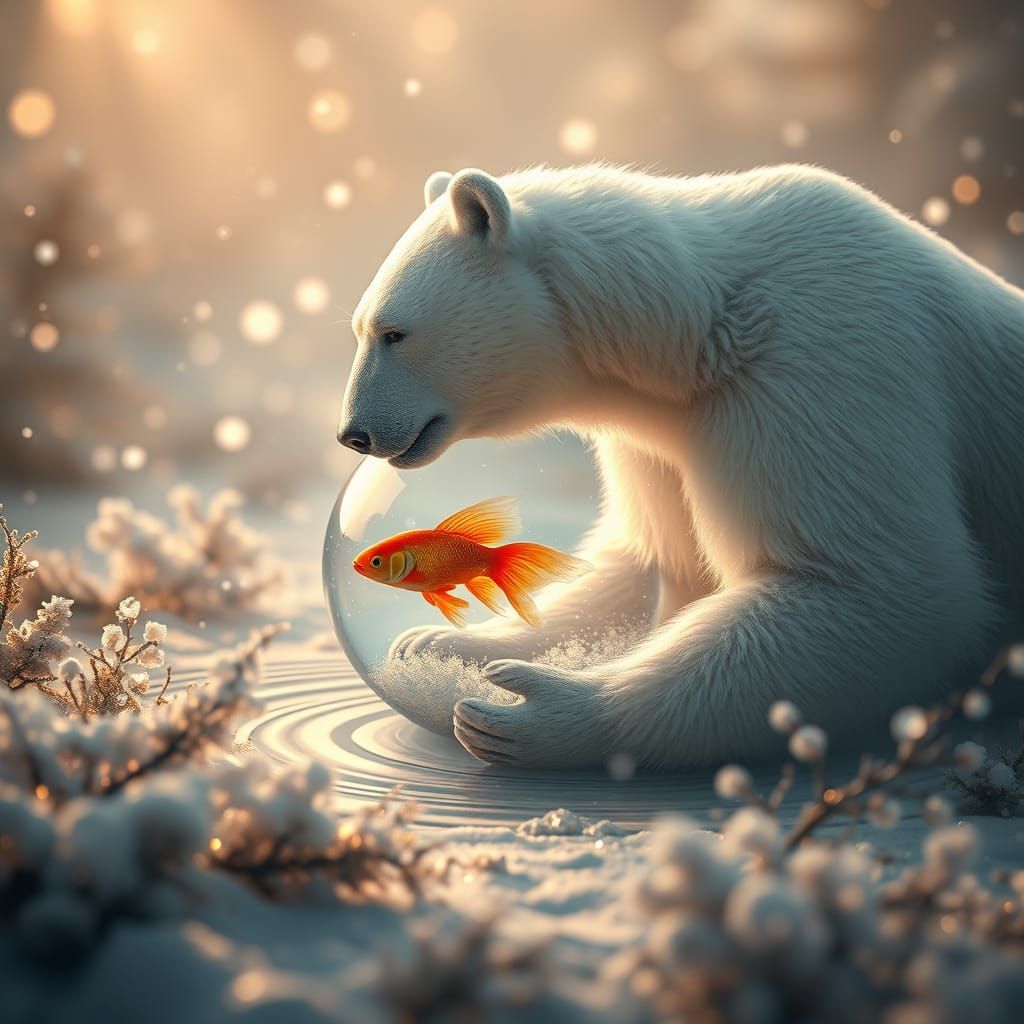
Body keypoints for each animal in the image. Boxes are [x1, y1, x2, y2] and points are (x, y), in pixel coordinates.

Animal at [337, 163, 1024, 770]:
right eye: (358, 328)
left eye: (394, 332)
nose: (354, 434)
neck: (697, 332)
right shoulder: (660, 439)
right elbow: (645, 557)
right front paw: (441, 644)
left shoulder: (824, 370)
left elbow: (877, 587)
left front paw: (538, 709)